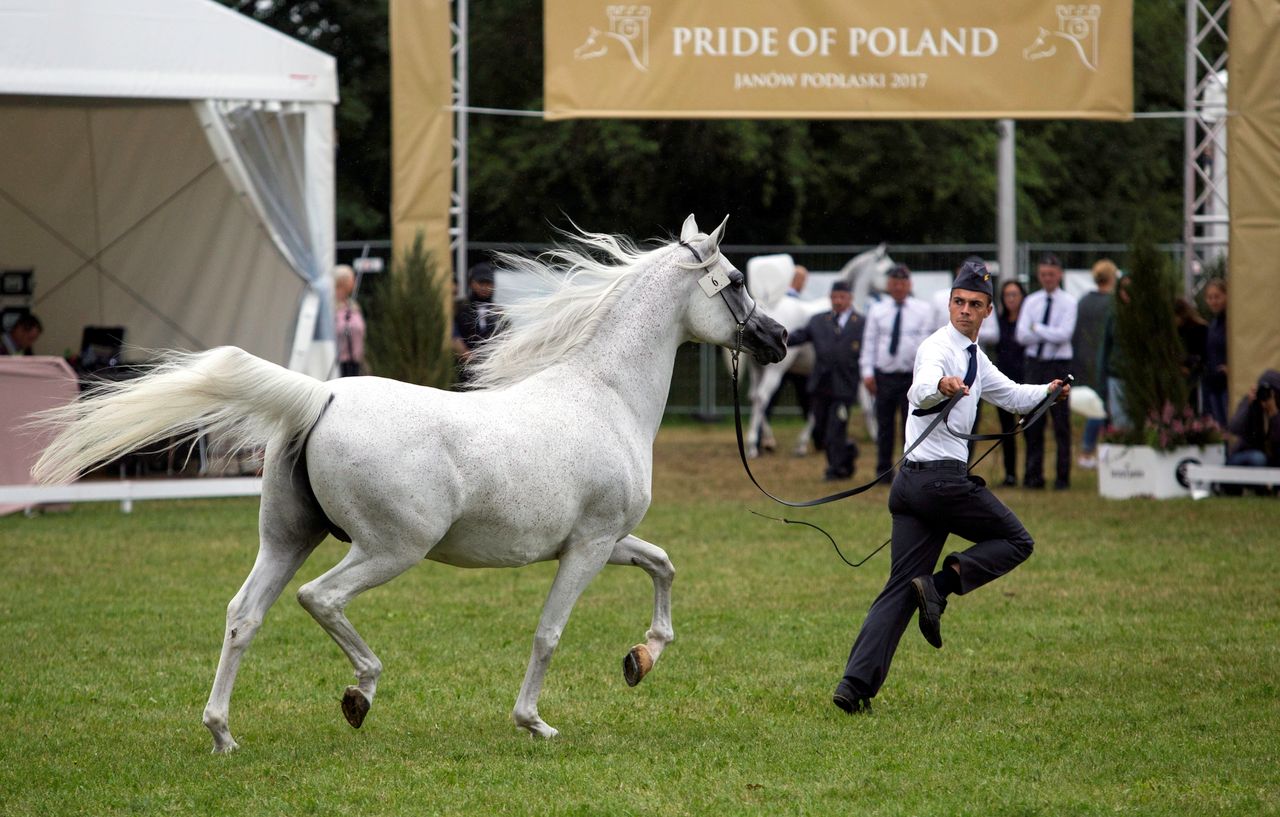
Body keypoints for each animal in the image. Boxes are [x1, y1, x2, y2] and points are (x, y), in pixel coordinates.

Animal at [35, 216, 783, 758]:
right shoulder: (590, 545)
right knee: (319, 598)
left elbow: (664, 565)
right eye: (735, 279)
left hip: (288, 538)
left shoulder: (607, 539)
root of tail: (323, 395)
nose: (776, 338)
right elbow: (549, 632)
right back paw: (358, 693)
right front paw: (535, 722)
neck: (605, 394)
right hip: (389, 549)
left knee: (244, 614)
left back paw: (223, 733)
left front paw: (641, 658)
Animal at [742, 243, 901, 461]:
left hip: (757, 369)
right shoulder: (855, 372)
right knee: (762, 398)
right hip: (776, 371)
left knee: (754, 398)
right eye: (888, 270)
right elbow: (867, 406)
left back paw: (766, 441)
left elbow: (815, 409)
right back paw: (752, 446)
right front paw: (877, 435)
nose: (900, 288)